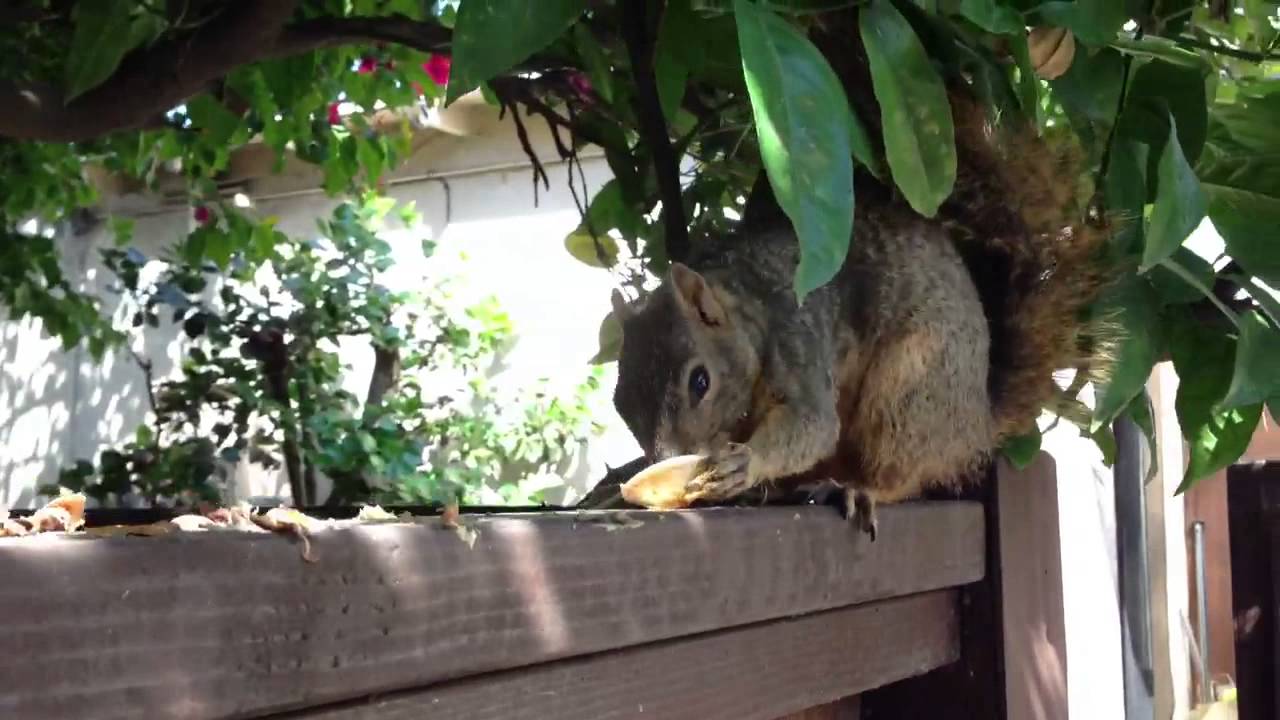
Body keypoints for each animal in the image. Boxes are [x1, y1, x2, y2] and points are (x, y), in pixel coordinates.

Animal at [607, 82, 1114, 540]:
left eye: (700, 382)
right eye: (620, 403)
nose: (666, 458)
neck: (750, 307)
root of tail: (975, 425)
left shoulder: (799, 344)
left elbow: (812, 424)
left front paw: (746, 462)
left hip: (910, 390)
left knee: (902, 474)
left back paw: (857, 489)